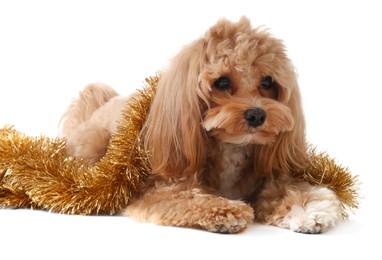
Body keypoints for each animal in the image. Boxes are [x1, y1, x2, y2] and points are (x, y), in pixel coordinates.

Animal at [60, 18, 344, 234]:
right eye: (222, 82)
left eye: (267, 81)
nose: (257, 115)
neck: (230, 149)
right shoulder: (160, 188)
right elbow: (188, 198)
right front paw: (226, 210)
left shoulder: (265, 180)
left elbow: (286, 190)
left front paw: (307, 208)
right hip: (95, 144)